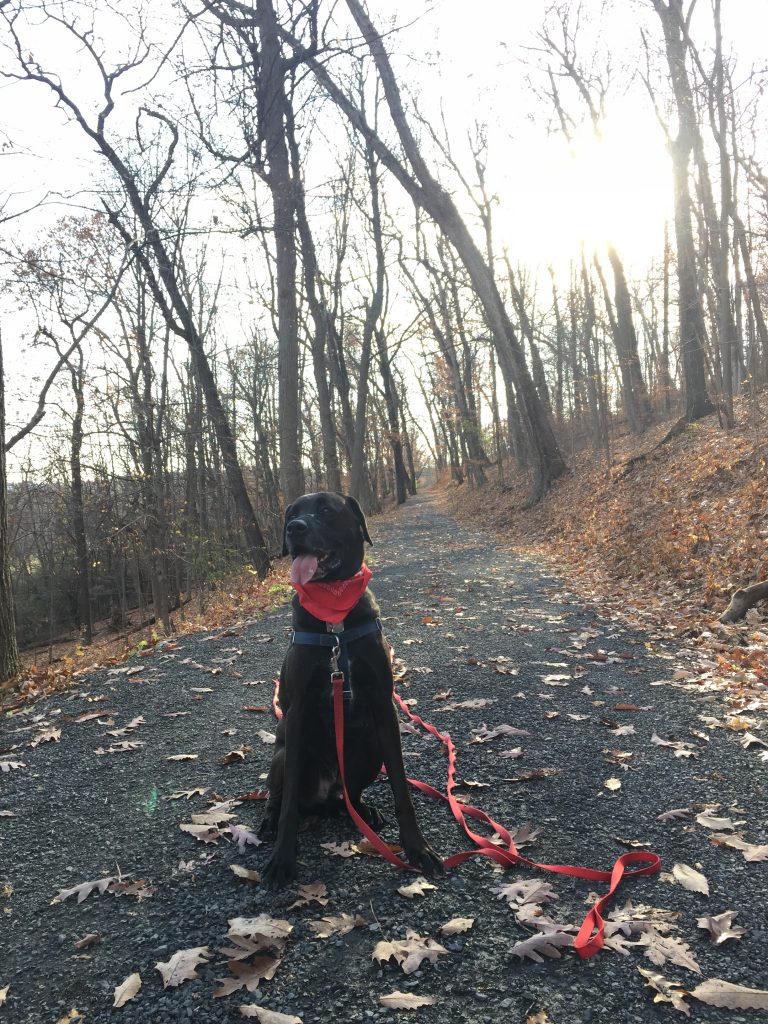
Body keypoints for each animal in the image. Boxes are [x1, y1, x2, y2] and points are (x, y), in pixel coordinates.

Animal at [264, 489, 444, 888]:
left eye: (326, 510)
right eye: (291, 512)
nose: (294, 528)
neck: (335, 623)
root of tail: (327, 795)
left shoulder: (383, 706)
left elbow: (402, 787)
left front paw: (418, 848)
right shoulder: (296, 712)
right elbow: (288, 807)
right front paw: (282, 859)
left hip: (370, 753)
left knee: (350, 795)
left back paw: (362, 810)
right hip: (282, 760)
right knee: (279, 797)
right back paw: (269, 821)